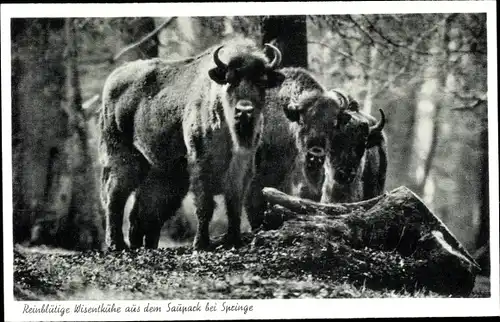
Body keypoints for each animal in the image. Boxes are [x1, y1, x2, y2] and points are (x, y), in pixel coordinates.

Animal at [98, 39, 286, 250]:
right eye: (230, 80)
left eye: (261, 81)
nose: (244, 110)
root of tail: (113, 78)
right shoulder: (200, 162)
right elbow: (205, 205)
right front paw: (201, 243)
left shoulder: (243, 167)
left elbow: (234, 203)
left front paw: (234, 240)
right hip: (122, 158)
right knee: (115, 196)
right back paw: (117, 244)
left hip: (163, 172)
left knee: (146, 209)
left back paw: (143, 246)